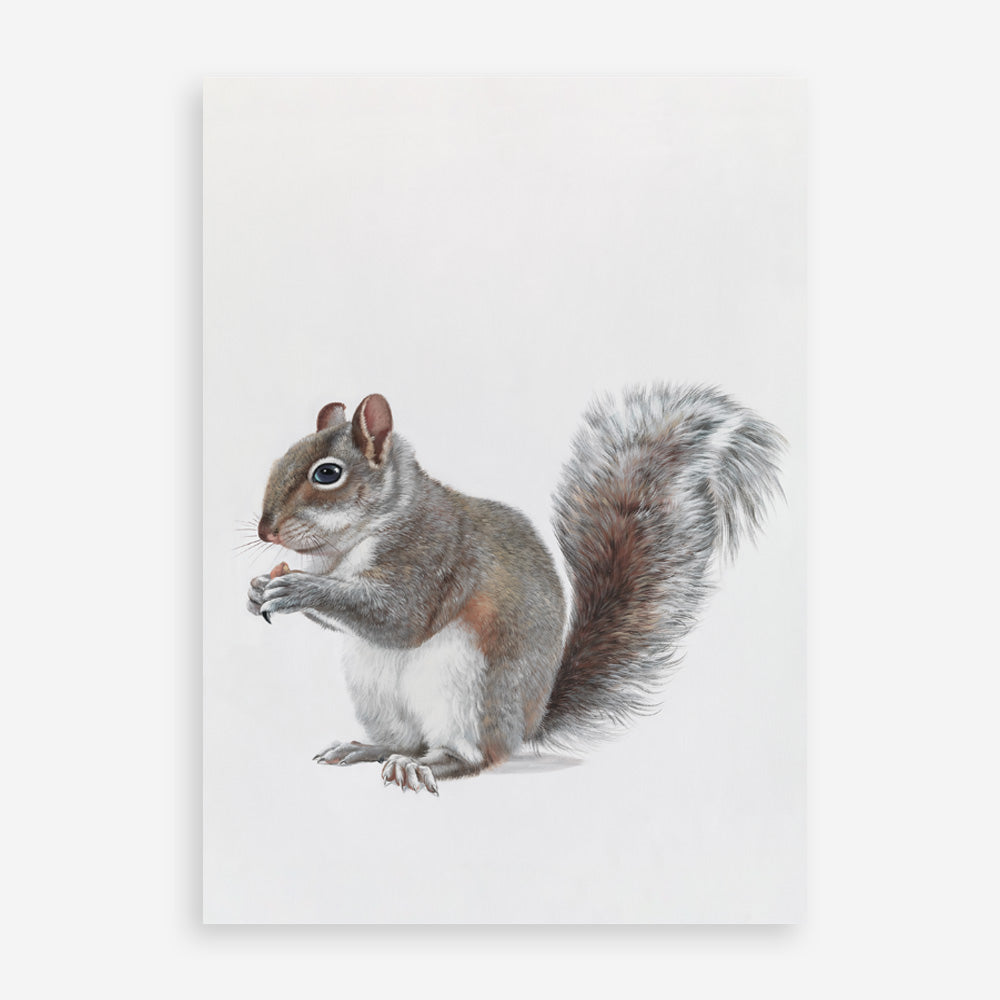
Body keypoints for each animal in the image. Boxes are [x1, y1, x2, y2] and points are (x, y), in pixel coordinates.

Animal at [247, 385, 785, 795]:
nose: (265, 531)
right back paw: (369, 748)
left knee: (465, 756)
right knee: (406, 738)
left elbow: (401, 616)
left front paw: (298, 589)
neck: (349, 545)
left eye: (327, 473)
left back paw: (419, 766)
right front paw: (256, 591)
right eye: (281, 458)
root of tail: (525, 727)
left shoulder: (433, 556)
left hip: (467, 689)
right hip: (373, 688)